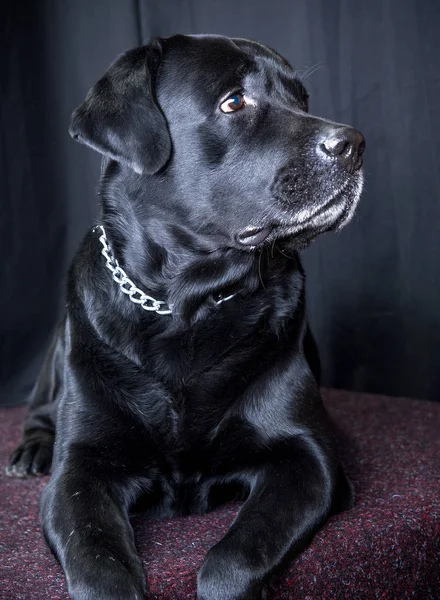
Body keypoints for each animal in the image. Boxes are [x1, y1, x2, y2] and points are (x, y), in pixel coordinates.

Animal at [6, 34, 364, 600]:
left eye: (302, 99)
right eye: (234, 102)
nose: (354, 143)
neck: (186, 304)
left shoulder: (310, 459)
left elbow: (233, 558)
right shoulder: (79, 472)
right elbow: (98, 562)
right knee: (42, 410)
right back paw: (32, 450)